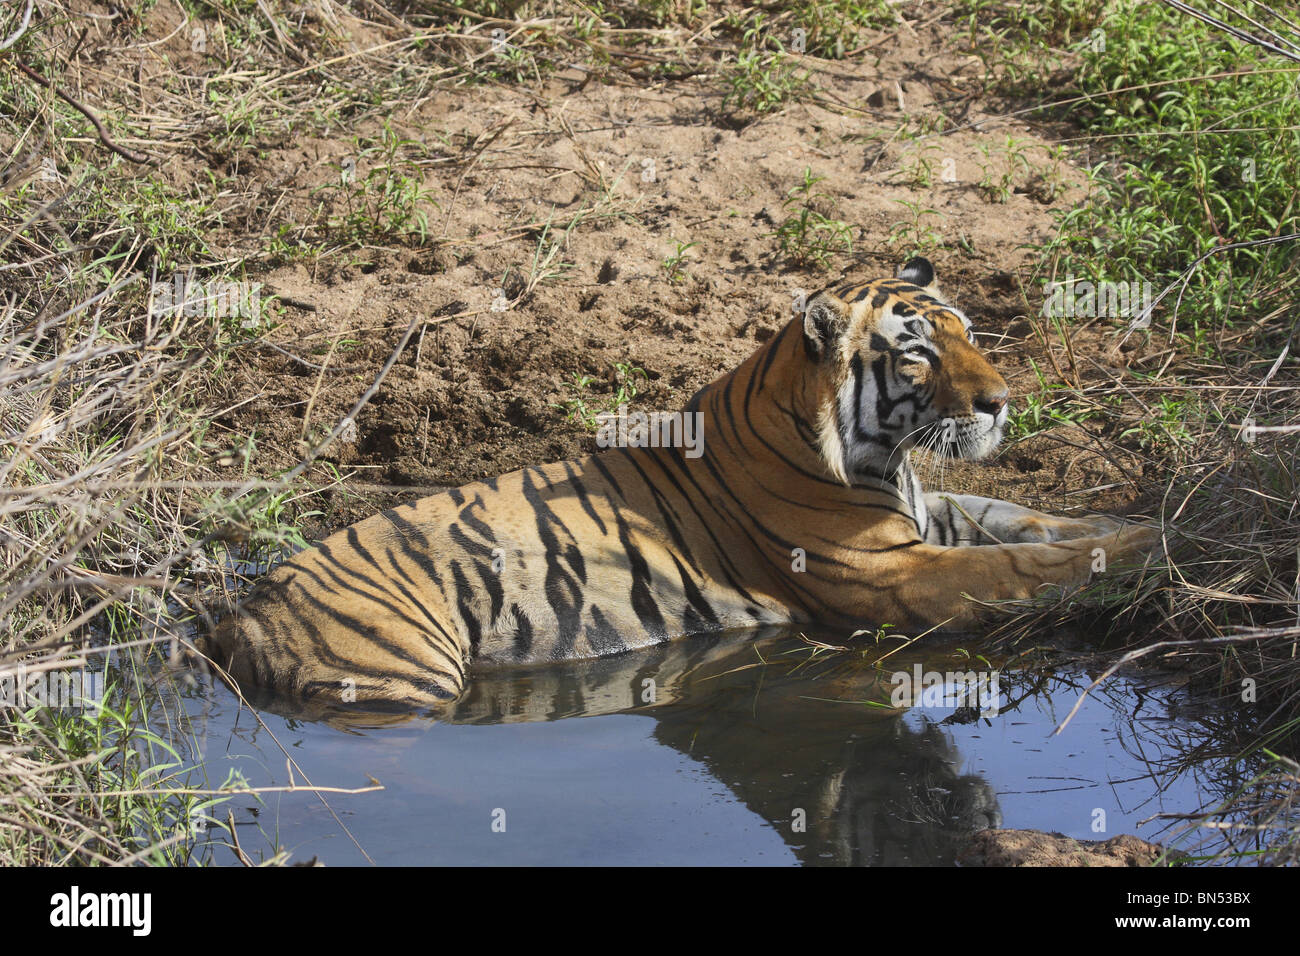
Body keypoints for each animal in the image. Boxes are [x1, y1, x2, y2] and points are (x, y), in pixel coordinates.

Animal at [208, 260, 1164, 712]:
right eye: (920, 351)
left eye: (967, 330)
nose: (1002, 403)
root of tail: (241, 613)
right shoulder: (890, 574)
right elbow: (1025, 566)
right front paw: (1149, 547)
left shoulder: (930, 521)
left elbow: (1030, 521)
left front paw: (1135, 515)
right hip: (403, 673)